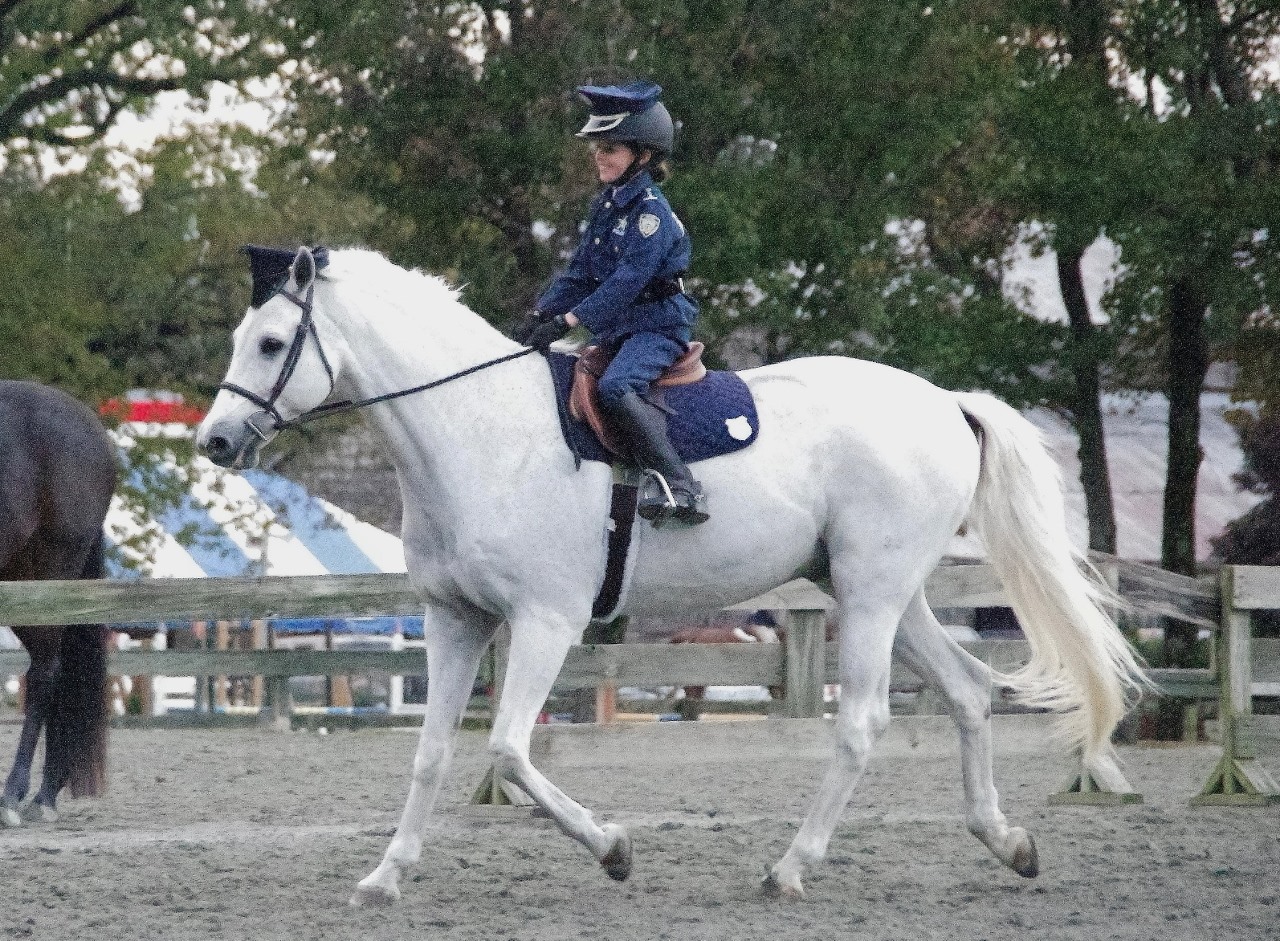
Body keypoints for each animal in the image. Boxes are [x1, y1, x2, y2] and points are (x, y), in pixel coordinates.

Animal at [197, 248, 1141, 906]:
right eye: (240, 339)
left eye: (273, 342)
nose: (214, 441)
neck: (478, 430)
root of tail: (945, 401)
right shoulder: (453, 619)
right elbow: (430, 754)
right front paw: (386, 876)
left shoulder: (546, 620)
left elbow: (507, 750)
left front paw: (613, 847)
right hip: (887, 593)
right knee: (971, 690)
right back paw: (1006, 841)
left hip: (871, 597)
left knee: (862, 723)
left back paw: (789, 868)